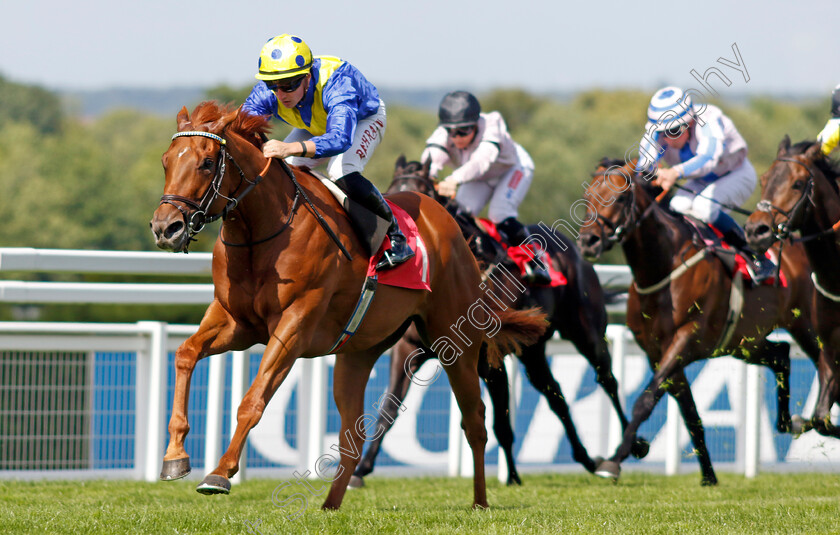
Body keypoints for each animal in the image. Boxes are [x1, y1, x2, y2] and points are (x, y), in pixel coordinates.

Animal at [148, 103, 548, 510]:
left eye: (207, 163)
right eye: (166, 161)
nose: (166, 228)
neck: (263, 231)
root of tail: (449, 224)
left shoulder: (294, 326)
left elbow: (253, 399)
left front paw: (220, 473)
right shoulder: (235, 321)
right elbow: (185, 353)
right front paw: (174, 457)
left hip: (456, 340)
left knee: (476, 420)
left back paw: (481, 501)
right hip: (359, 351)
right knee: (352, 433)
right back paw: (330, 504)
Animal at [348, 157, 648, 488]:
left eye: (421, 196)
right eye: (389, 192)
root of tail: (577, 253)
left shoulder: (489, 356)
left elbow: (501, 421)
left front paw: (513, 476)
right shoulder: (409, 348)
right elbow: (389, 408)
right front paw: (360, 471)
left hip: (586, 331)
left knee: (607, 379)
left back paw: (628, 448)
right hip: (533, 350)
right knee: (554, 393)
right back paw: (586, 458)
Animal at [576, 158, 820, 486]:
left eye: (621, 197)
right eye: (588, 195)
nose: (588, 242)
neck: (663, 269)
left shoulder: (685, 340)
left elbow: (645, 400)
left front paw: (613, 461)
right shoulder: (657, 352)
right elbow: (690, 412)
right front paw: (709, 476)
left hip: (805, 324)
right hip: (744, 342)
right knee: (781, 355)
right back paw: (788, 422)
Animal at [744, 137, 840, 440]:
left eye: (798, 183)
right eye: (764, 179)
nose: (756, 230)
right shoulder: (830, 350)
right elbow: (821, 419)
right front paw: (799, 421)